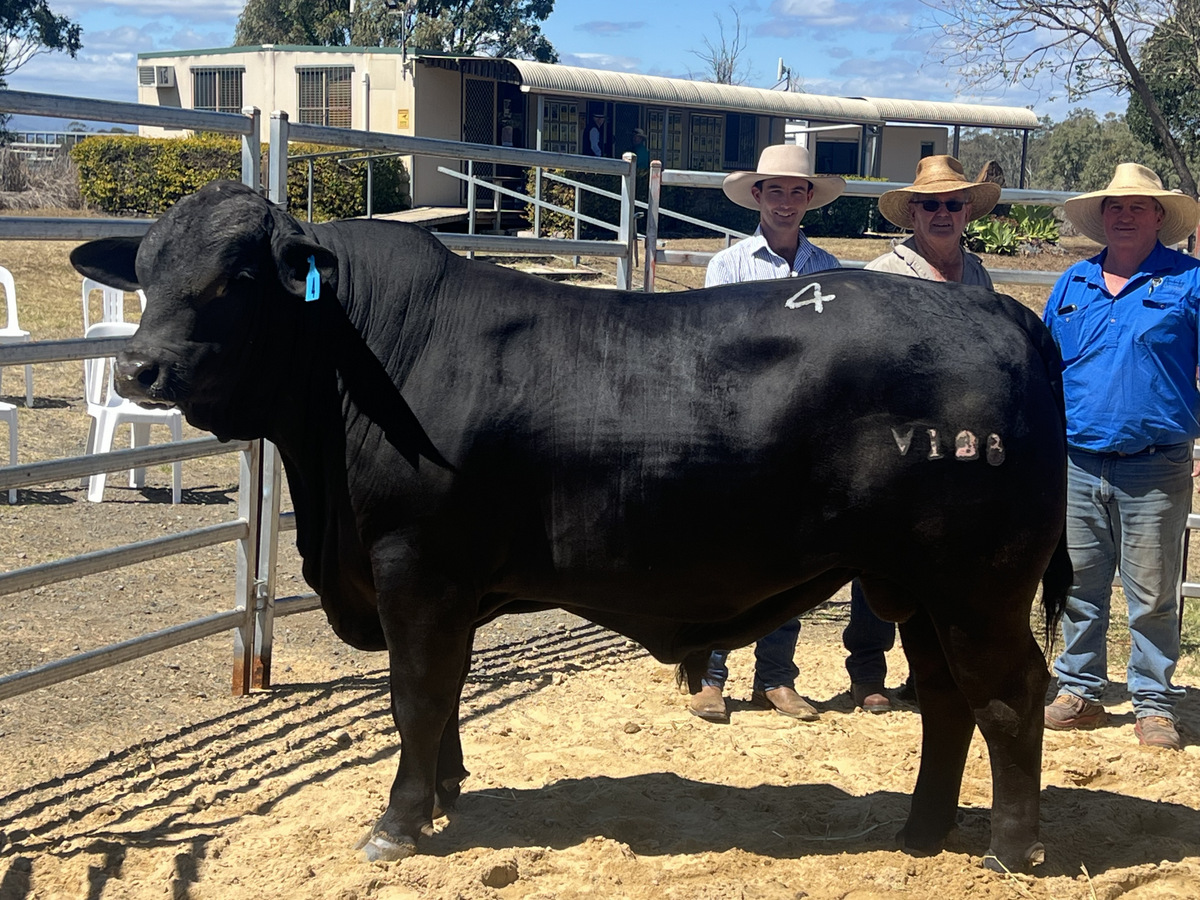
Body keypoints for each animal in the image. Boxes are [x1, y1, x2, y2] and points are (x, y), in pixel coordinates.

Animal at [70, 180, 1070, 873]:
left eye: (237, 278)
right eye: (148, 271)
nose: (141, 368)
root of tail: (999, 310)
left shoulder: (415, 568)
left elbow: (415, 696)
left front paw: (397, 823)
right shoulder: (449, 587)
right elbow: (445, 698)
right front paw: (446, 793)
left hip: (978, 580)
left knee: (1009, 692)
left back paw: (1011, 849)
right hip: (919, 583)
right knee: (945, 697)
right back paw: (920, 833)